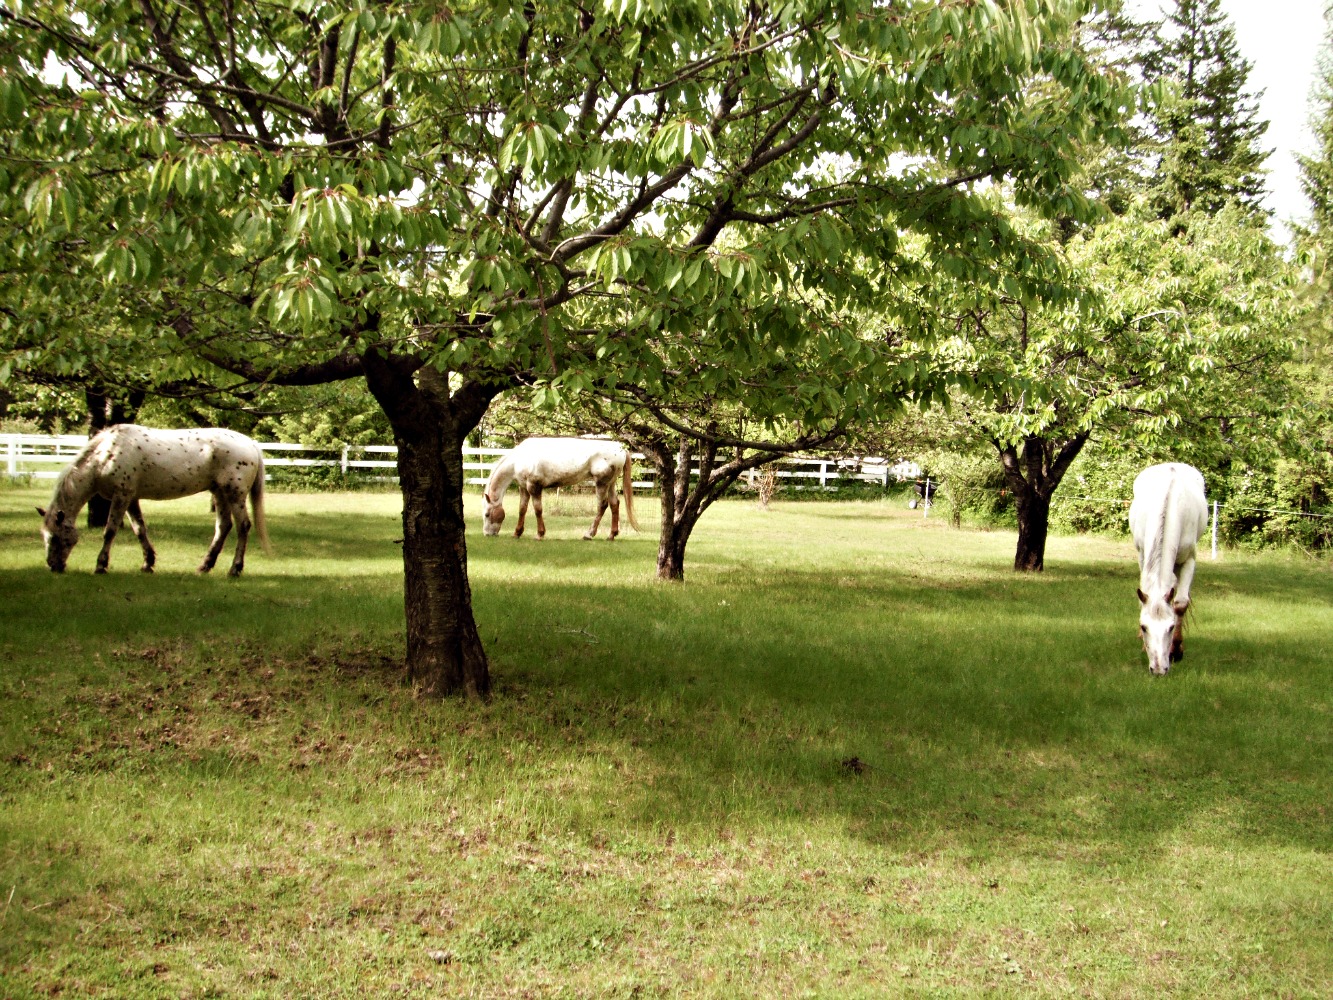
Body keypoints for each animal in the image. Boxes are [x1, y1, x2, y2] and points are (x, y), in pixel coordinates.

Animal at [37, 424, 270, 577]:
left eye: (56, 538)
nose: (53, 566)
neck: (106, 454)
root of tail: (250, 443)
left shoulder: (121, 496)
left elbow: (110, 531)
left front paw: (101, 565)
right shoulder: (131, 498)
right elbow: (139, 529)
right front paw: (148, 563)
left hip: (235, 493)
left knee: (242, 526)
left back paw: (235, 568)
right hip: (219, 492)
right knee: (223, 527)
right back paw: (205, 566)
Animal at [482, 437, 639, 540]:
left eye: (487, 514)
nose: (488, 534)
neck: (519, 459)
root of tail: (621, 449)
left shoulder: (534, 487)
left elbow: (538, 510)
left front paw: (539, 534)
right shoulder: (524, 488)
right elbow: (522, 510)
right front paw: (517, 533)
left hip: (601, 483)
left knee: (602, 505)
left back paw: (589, 534)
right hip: (610, 484)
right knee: (614, 504)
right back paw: (611, 535)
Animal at [1128, 462, 1208, 675]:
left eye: (1171, 627)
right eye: (1144, 626)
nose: (1158, 669)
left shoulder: (1189, 559)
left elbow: (1180, 603)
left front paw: (1176, 649)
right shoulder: (1142, 555)